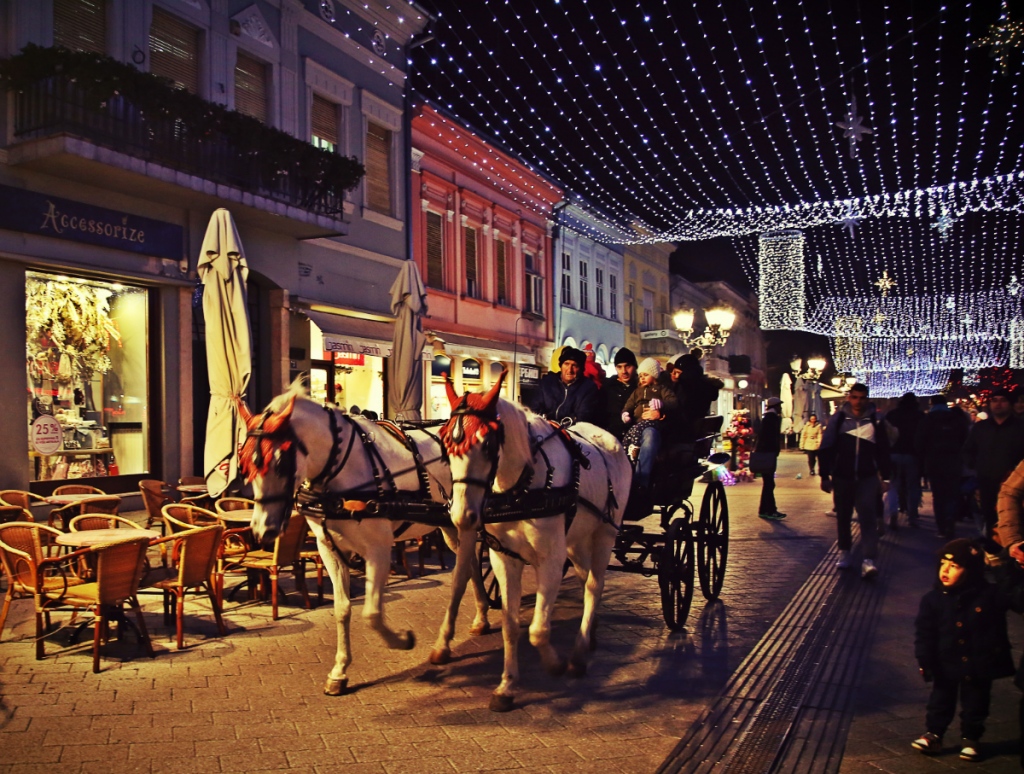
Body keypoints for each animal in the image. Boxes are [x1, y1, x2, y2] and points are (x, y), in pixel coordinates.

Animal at [241, 387, 493, 696]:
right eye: (244, 464)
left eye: (280, 461)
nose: (262, 530)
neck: (341, 471)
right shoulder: (329, 549)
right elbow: (342, 609)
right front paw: (339, 672)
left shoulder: (379, 549)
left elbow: (372, 613)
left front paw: (402, 640)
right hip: (448, 526)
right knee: (469, 566)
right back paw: (477, 620)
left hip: (466, 521)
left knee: (465, 571)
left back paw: (455, 636)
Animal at [440, 372, 630, 708]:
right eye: (446, 444)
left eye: (487, 444)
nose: (461, 516)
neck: (521, 488)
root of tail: (611, 440)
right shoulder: (504, 559)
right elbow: (511, 625)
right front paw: (506, 685)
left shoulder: (551, 560)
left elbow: (538, 630)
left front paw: (554, 664)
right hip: (576, 542)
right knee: (585, 580)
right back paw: (590, 633)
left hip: (605, 533)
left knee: (594, 586)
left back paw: (578, 654)